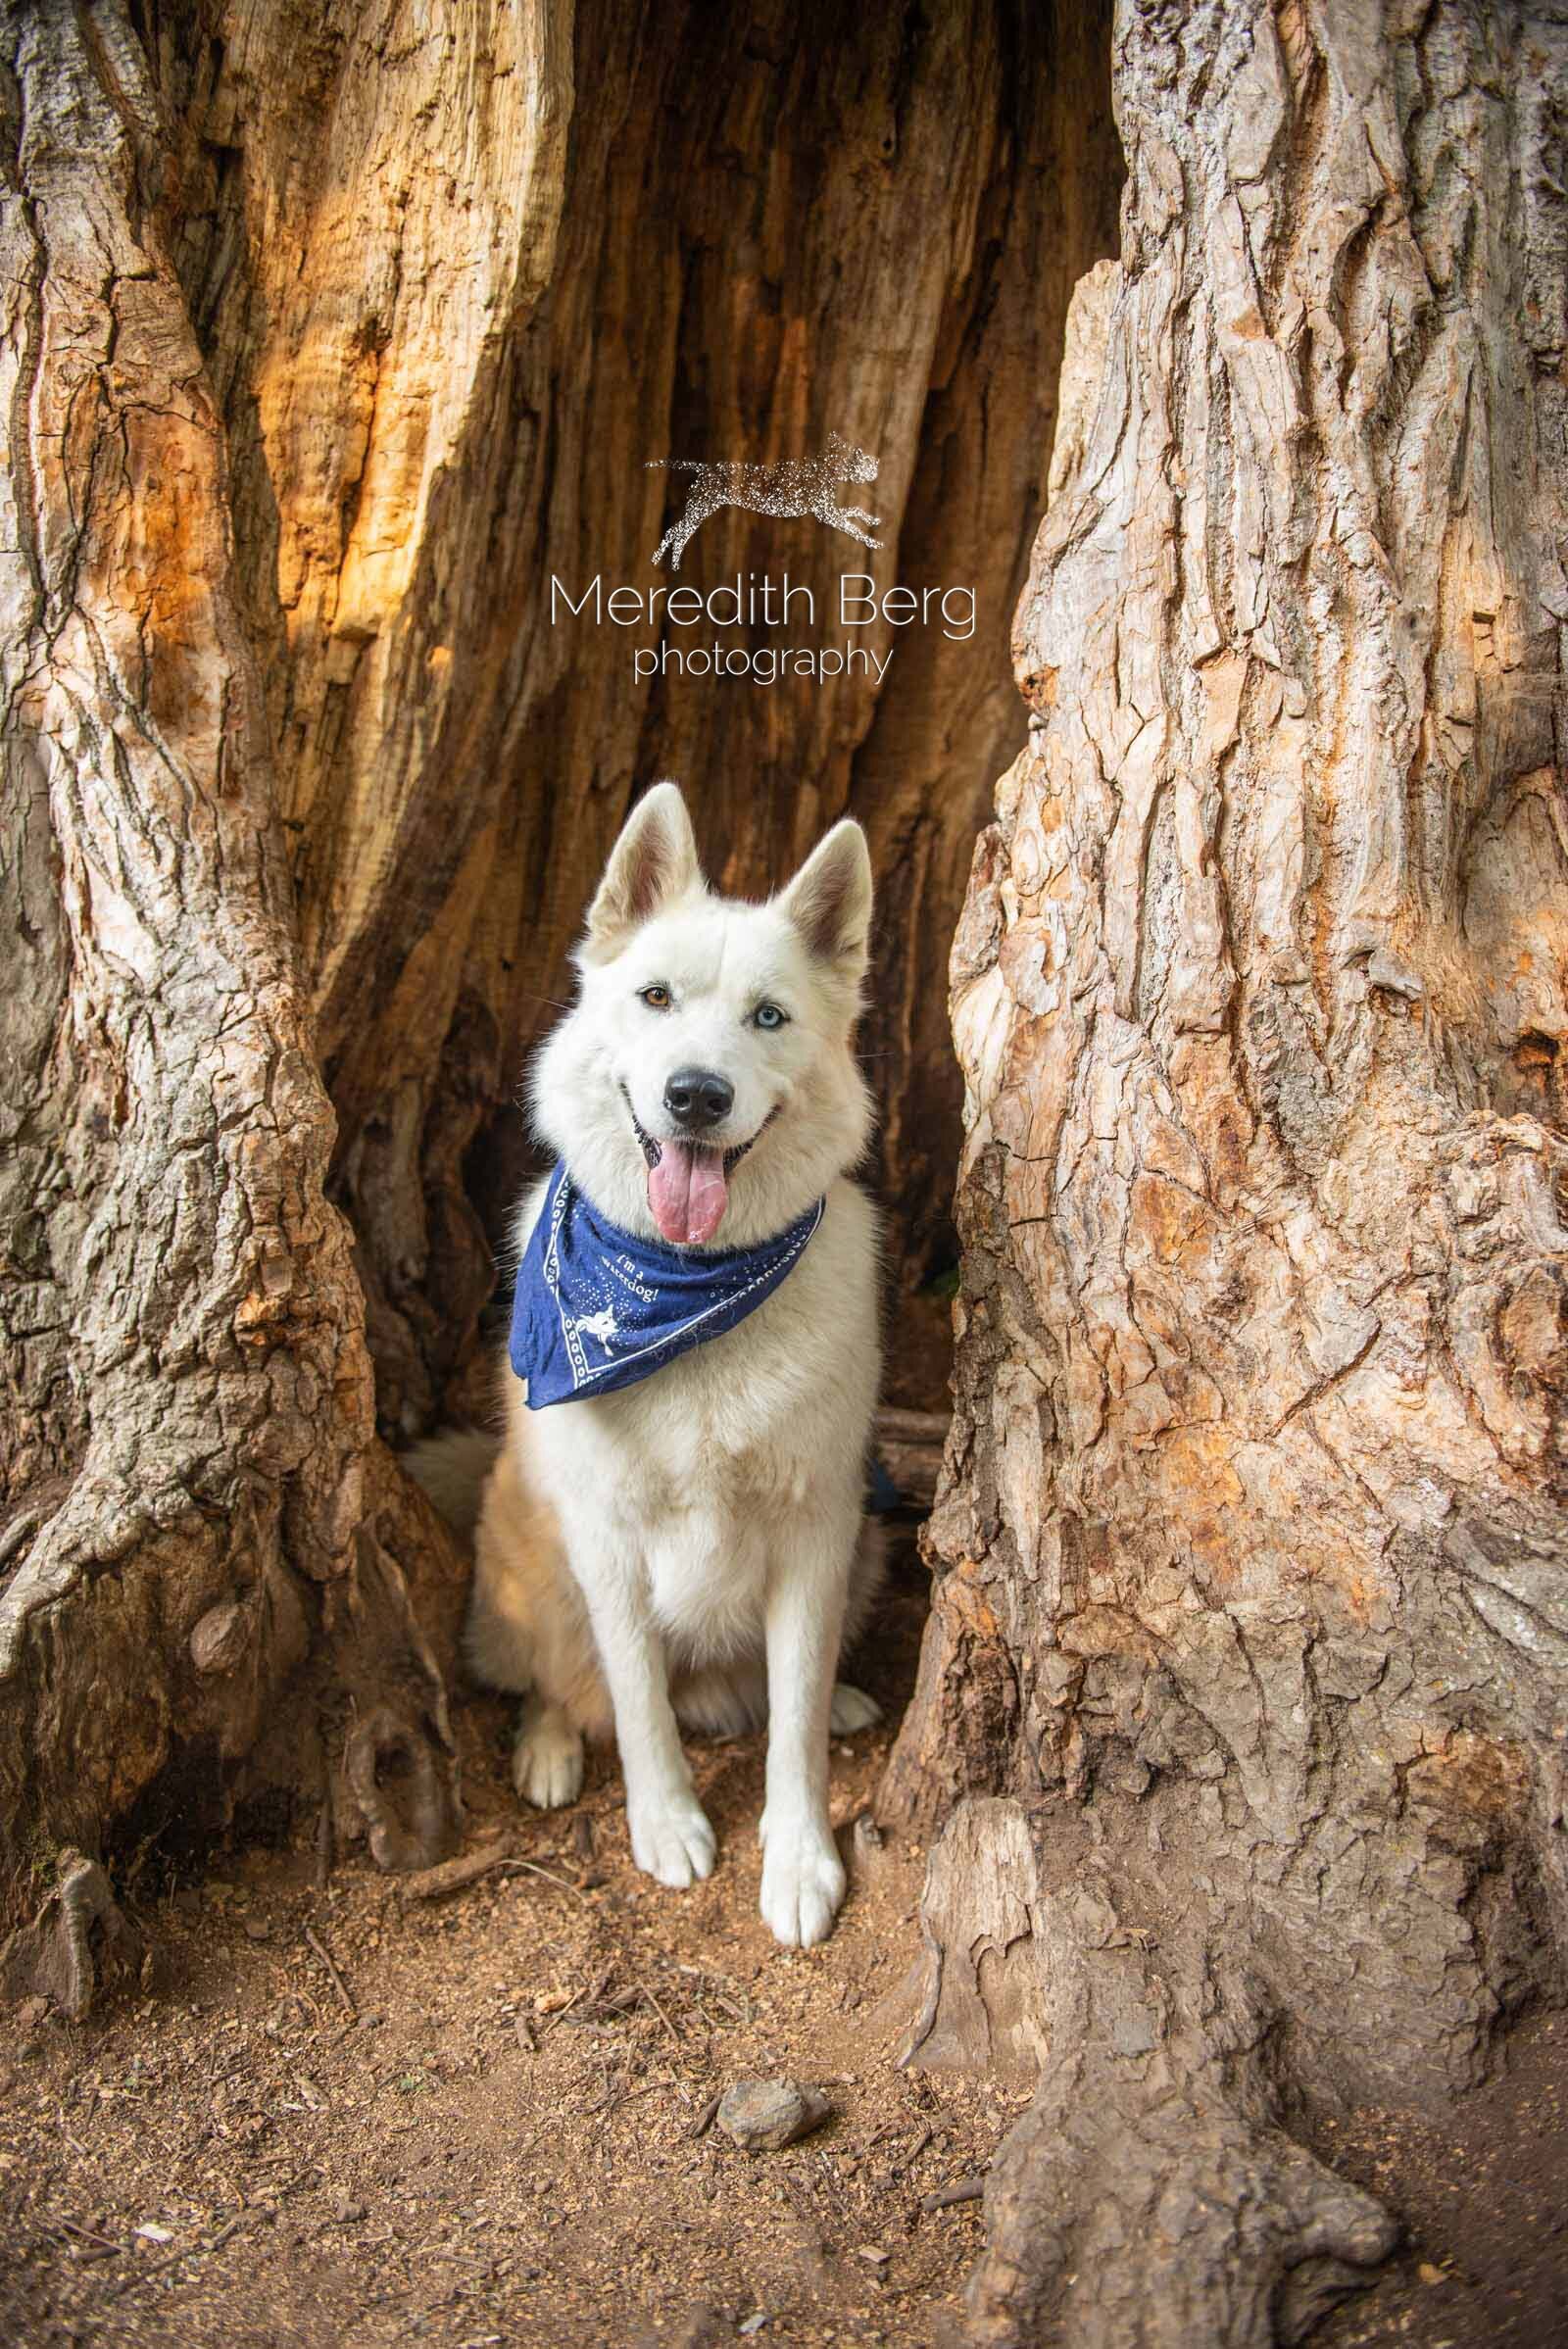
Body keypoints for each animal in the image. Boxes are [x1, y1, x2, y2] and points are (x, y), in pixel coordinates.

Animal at [462, 789, 882, 1944]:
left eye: (768, 1017)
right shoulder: (608, 1540)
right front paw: (666, 1822)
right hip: (532, 1566)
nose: (696, 1095)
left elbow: (793, 1718)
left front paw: (797, 1857)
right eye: (655, 998)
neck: (682, 1292)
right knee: (556, 1680)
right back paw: (547, 1749)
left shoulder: (818, 1534)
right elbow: (639, 1698)